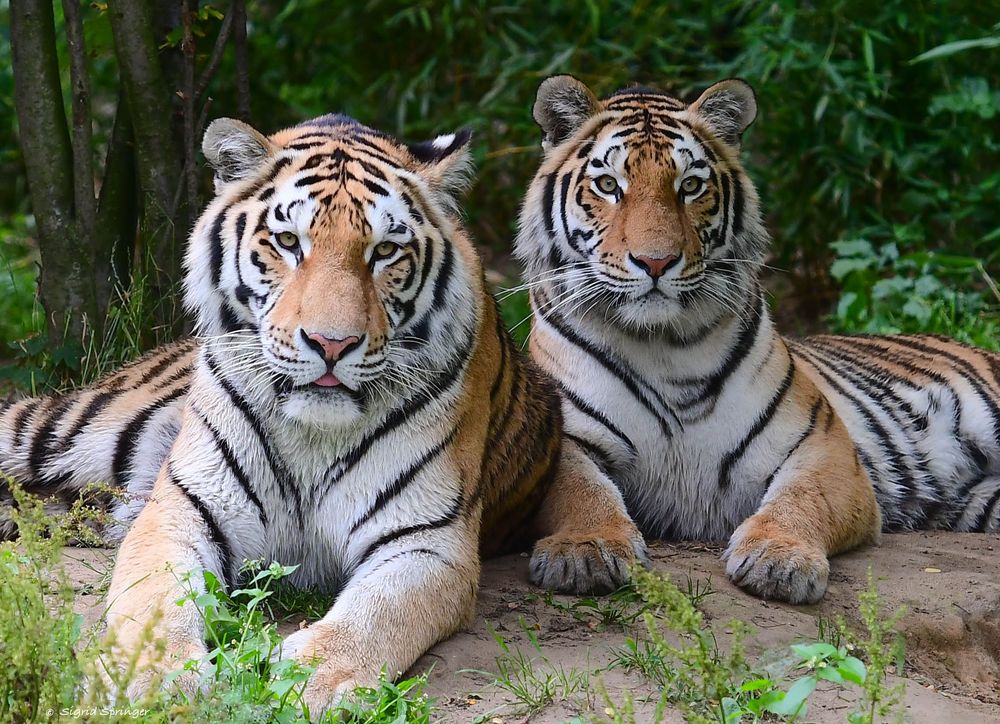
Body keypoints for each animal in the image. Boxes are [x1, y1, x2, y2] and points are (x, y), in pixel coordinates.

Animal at [0, 113, 644, 708]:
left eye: (385, 252)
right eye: (288, 243)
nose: (332, 344)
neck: (312, 433)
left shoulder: (424, 539)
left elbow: (375, 615)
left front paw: (312, 680)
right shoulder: (179, 512)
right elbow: (153, 600)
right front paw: (151, 679)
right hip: (64, 428)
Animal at [516, 75, 1000, 604]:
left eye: (690, 186)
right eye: (608, 185)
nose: (656, 262)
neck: (662, 347)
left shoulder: (821, 443)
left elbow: (799, 498)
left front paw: (778, 559)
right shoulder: (559, 437)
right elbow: (580, 490)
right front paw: (584, 549)